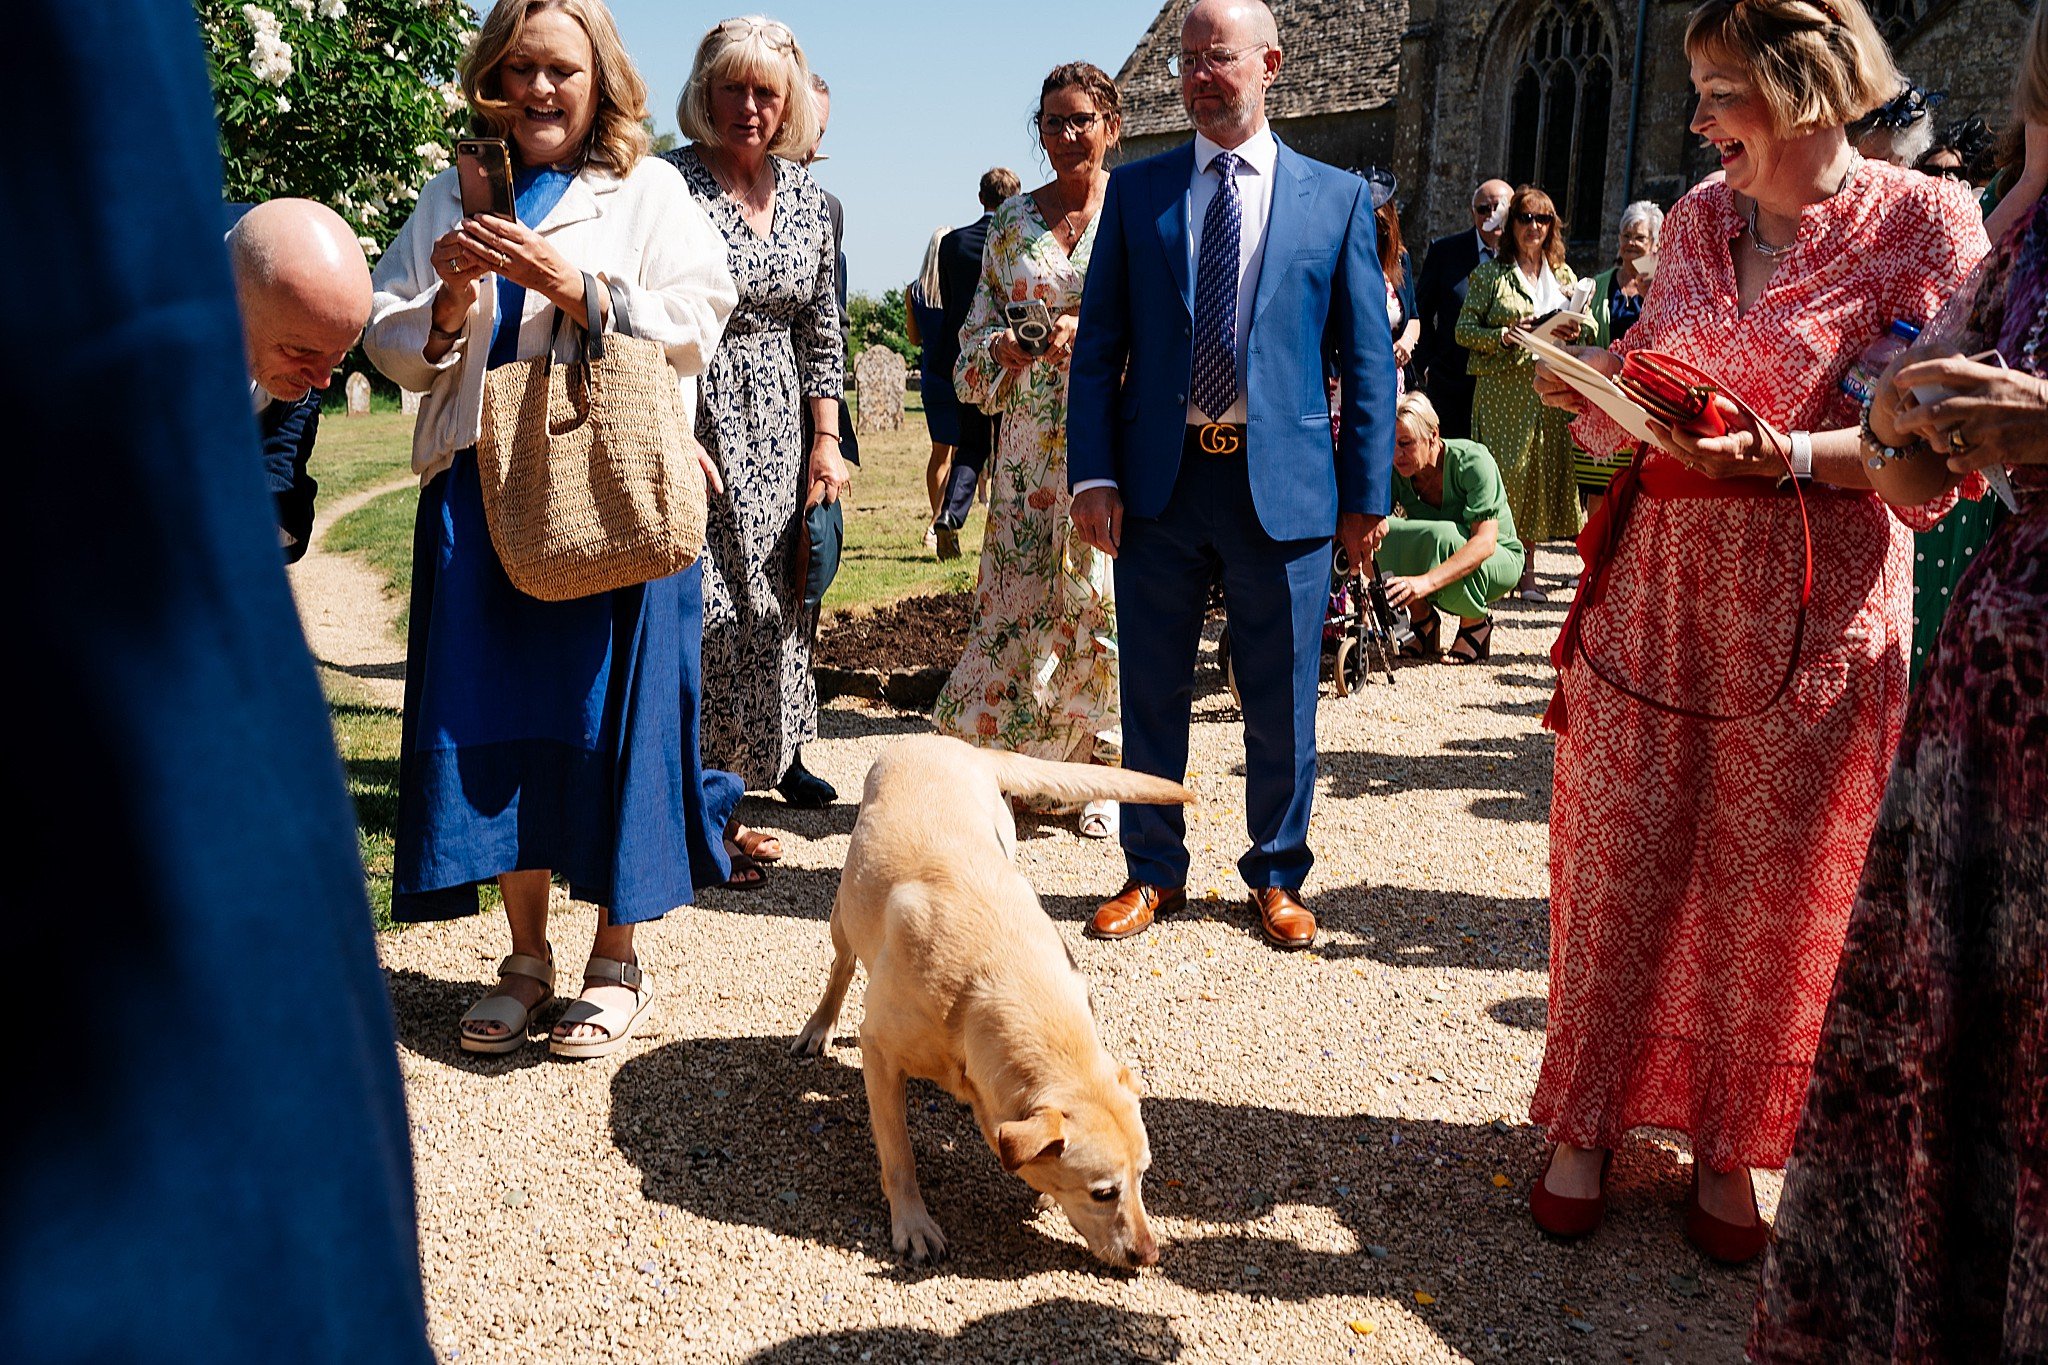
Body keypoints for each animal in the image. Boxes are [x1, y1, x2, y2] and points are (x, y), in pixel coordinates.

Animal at [794, 736, 1196, 1268]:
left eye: (1144, 1175)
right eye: (1103, 1192)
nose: (1149, 1255)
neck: (991, 978)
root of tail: (949, 741)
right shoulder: (878, 1051)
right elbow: (899, 1153)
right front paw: (913, 1224)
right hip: (843, 915)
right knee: (840, 967)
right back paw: (819, 1026)